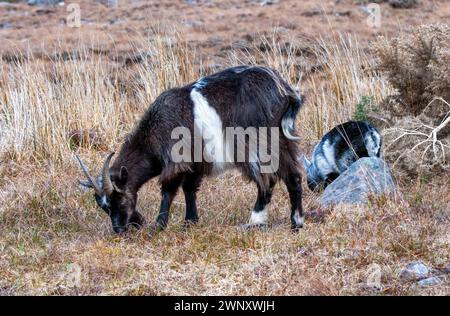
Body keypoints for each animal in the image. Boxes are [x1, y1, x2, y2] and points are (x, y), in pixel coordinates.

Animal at [76, 65, 306, 233]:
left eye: (119, 198)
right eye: (104, 206)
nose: (119, 229)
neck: (153, 130)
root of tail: (285, 92)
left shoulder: (176, 160)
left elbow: (168, 190)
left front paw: (158, 226)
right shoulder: (196, 162)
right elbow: (189, 189)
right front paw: (190, 221)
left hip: (256, 143)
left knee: (268, 180)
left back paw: (255, 220)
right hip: (283, 139)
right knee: (293, 175)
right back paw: (296, 223)